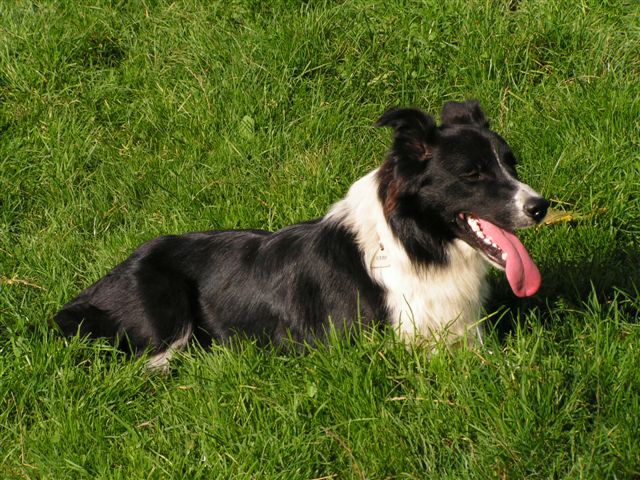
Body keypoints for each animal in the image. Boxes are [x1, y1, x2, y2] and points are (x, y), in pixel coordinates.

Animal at [55, 101, 549, 367]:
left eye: (511, 163)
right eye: (473, 173)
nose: (541, 206)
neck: (414, 245)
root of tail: (93, 289)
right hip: (163, 309)